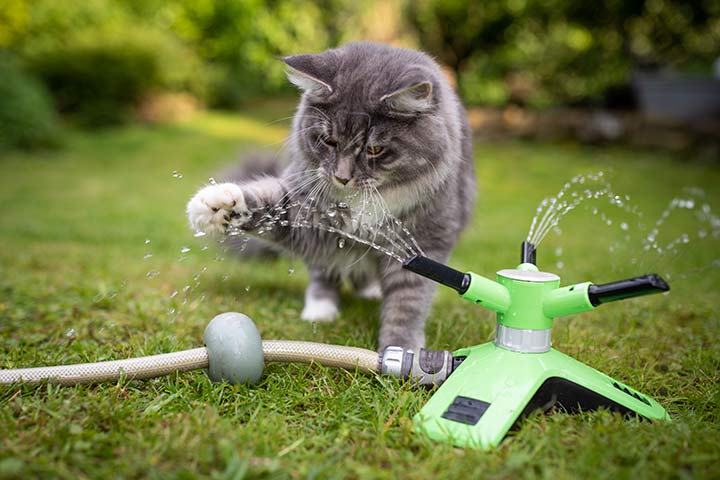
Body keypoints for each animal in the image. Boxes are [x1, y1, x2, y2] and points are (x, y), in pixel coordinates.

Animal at [188, 43, 476, 350]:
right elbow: (264, 202)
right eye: (329, 141)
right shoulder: (308, 213)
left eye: (374, 150)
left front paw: (400, 348)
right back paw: (320, 312)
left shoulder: (424, 242)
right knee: (323, 273)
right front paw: (215, 206)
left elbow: (406, 303)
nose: (342, 177)